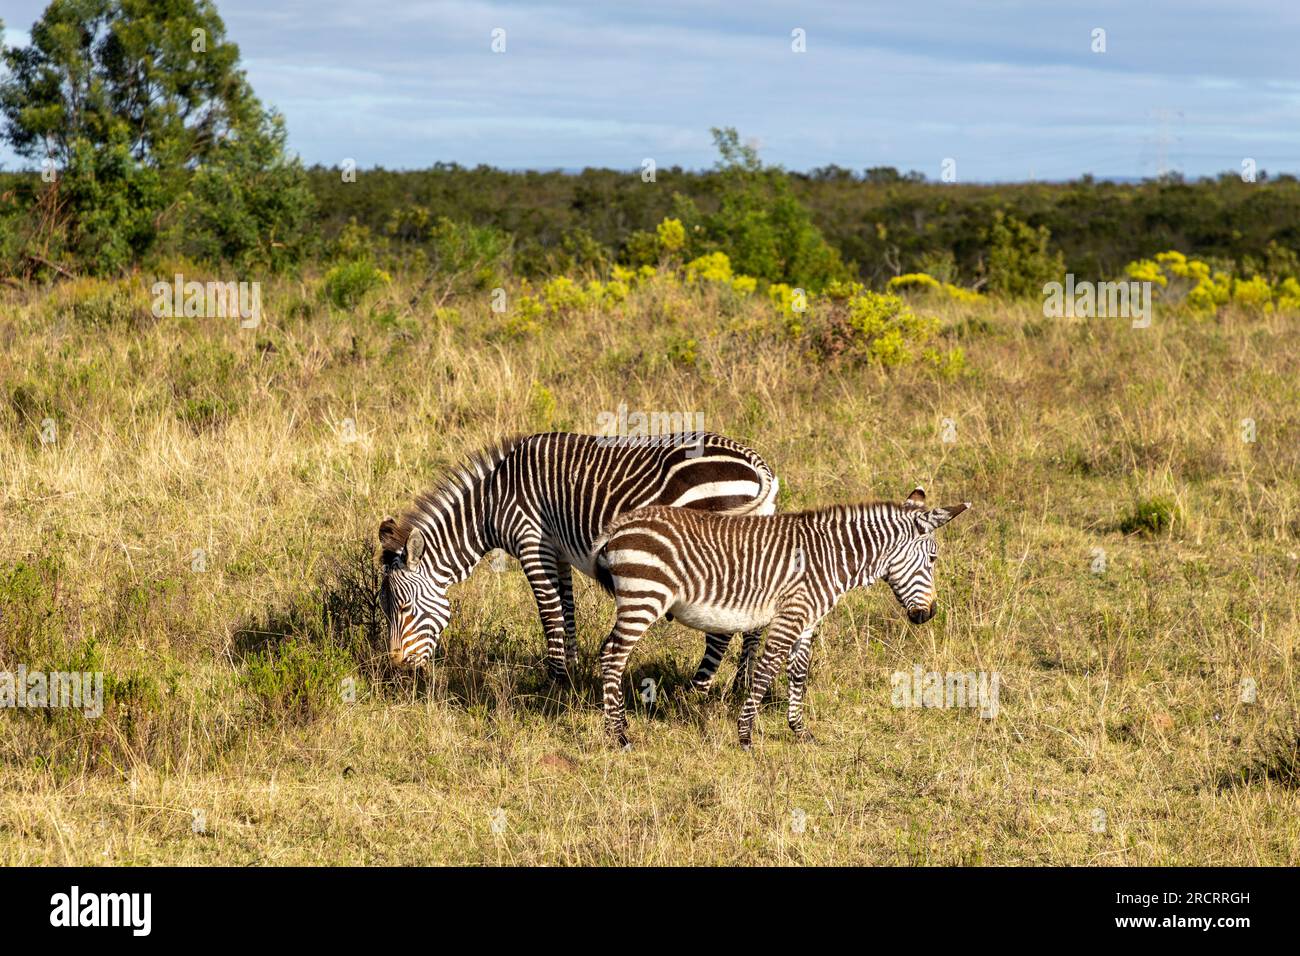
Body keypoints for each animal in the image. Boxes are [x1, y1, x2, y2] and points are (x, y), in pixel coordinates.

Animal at [379, 429, 780, 686]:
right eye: (387, 610)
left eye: (404, 608)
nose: (396, 665)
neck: (491, 503)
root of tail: (757, 463)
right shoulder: (557, 551)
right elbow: (567, 607)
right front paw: (571, 672)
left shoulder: (532, 542)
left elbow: (549, 611)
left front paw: (555, 681)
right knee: (752, 623)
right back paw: (739, 687)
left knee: (723, 631)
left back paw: (698, 688)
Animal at [595, 489, 972, 749]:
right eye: (933, 558)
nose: (929, 614)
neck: (831, 559)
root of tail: (621, 522)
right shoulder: (790, 616)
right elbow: (765, 671)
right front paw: (745, 736)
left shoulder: (807, 621)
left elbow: (798, 673)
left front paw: (800, 731)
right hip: (644, 596)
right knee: (613, 656)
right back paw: (617, 736)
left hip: (637, 599)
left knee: (608, 651)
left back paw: (620, 726)